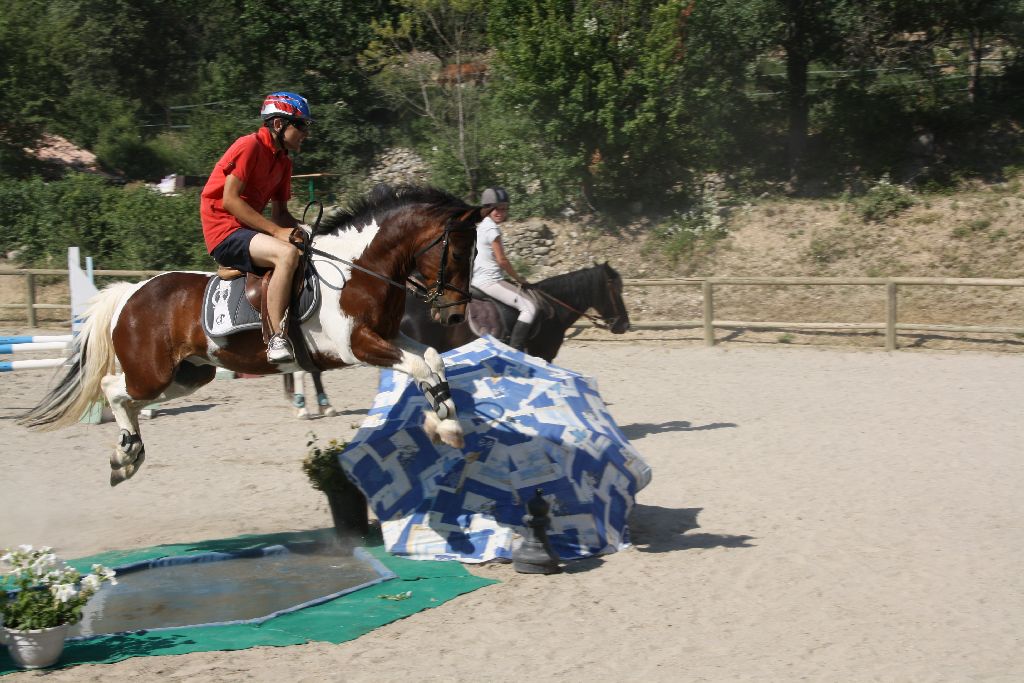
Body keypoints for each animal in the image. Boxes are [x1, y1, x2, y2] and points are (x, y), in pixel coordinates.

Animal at [22, 184, 485, 485]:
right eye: (458, 253)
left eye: (476, 251)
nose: (454, 314)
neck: (358, 269)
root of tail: (130, 293)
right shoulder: (358, 346)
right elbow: (418, 366)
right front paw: (443, 423)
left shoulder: (387, 337)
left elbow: (431, 359)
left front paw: (445, 421)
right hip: (151, 373)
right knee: (111, 388)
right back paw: (125, 454)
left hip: (188, 376)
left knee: (129, 398)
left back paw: (128, 454)